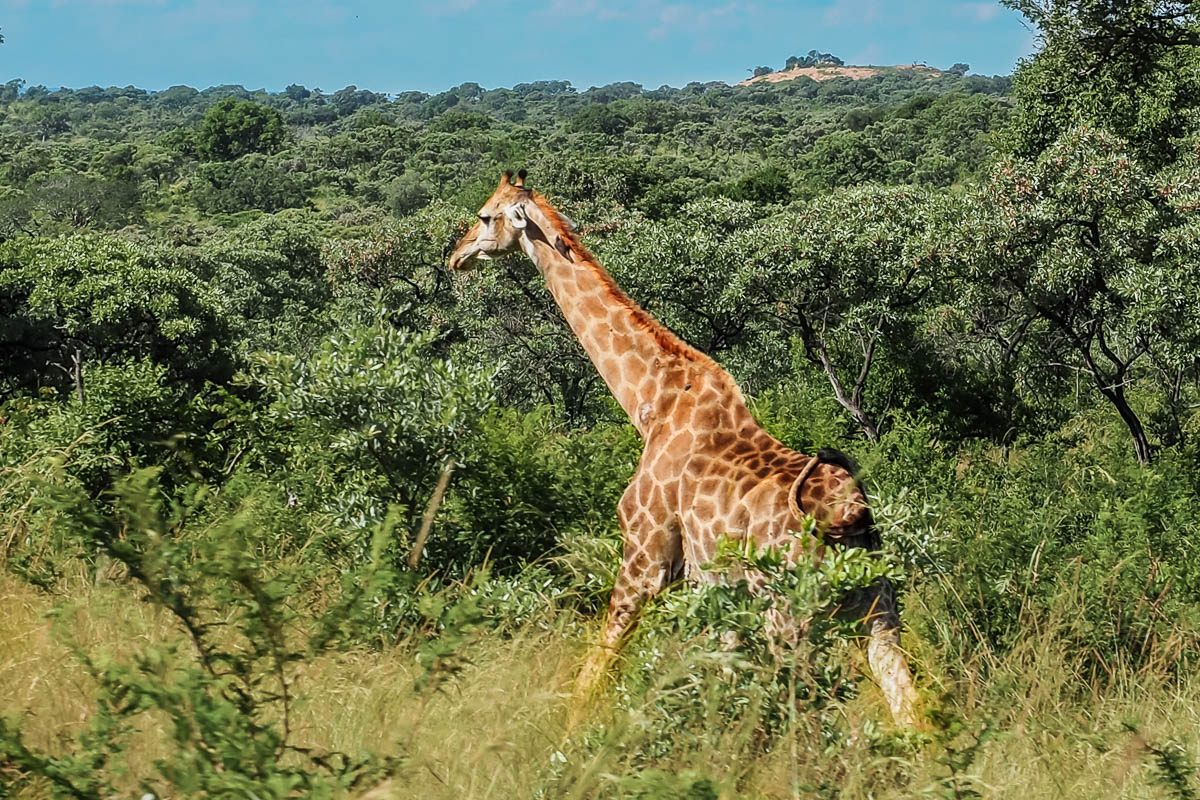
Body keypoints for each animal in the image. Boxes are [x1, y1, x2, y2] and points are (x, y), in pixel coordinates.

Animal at [448, 170, 922, 727]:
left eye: (485, 216)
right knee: (909, 706)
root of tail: (847, 515)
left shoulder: (645, 558)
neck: (651, 401)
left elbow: (598, 667)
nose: (455, 256)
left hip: (790, 615)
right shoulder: (709, 587)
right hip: (878, 609)